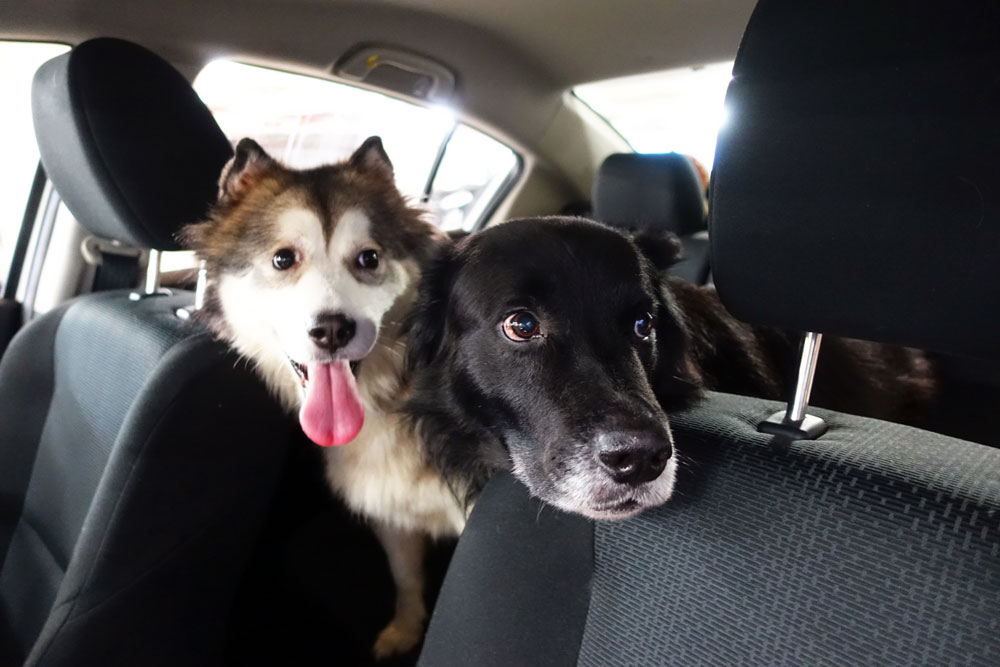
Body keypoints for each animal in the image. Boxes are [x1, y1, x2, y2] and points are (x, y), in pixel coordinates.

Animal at [183, 138, 464, 660]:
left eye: (368, 259)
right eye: (282, 259)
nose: (332, 330)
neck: (394, 392)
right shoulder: (391, 506)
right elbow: (406, 576)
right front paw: (405, 630)